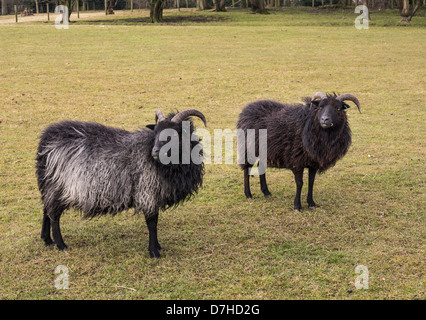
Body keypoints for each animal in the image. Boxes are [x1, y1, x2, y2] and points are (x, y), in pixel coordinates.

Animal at [37, 109, 207, 258]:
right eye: (156, 132)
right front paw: (154, 252)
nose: (155, 152)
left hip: (49, 184)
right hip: (59, 186)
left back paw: (47, 239)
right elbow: (152, 222)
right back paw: (61, 244)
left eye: (174, 133)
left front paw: (158, 247)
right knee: (54, 215)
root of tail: (46, 141)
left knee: (46, 209)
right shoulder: (147, 190)